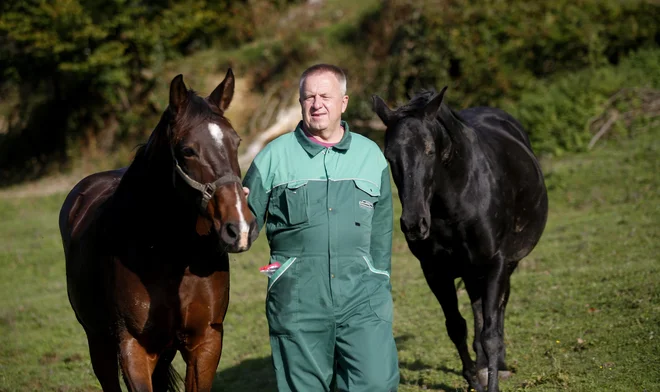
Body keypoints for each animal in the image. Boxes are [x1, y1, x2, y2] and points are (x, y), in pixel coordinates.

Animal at [58, 69, 258, 390]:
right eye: (187, 150)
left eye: (236, 142)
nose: (238, 228)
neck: (169, 253)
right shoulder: (134, 347)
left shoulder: (207, 341)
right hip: (98, 341)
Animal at [374, 89, 548, 392]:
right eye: (389, 156)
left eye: (429, 150)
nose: (414, 224)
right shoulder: (435, 272)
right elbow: (456, 326)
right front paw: (473, 378)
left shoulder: (495, 263)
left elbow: (491, 332)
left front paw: (491, 384)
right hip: (470, 271)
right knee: (477, 309)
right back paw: (481, 365)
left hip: (504, 265)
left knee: (499, 309)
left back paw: (499, 364)